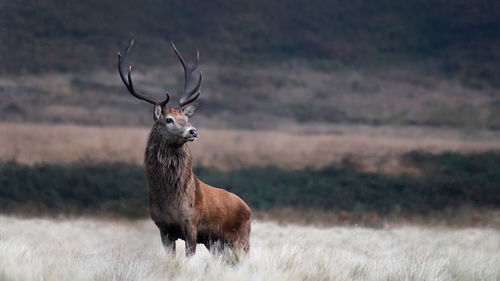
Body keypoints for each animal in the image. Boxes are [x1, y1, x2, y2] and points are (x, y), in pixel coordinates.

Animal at [116, 39, 250, 256]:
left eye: (185, 118)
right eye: (169, 119)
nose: (193, 131)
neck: (170, 201)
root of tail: (247, 207)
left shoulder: (191, 224)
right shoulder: (163, 228)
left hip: (243, 239)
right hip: (217, 244)